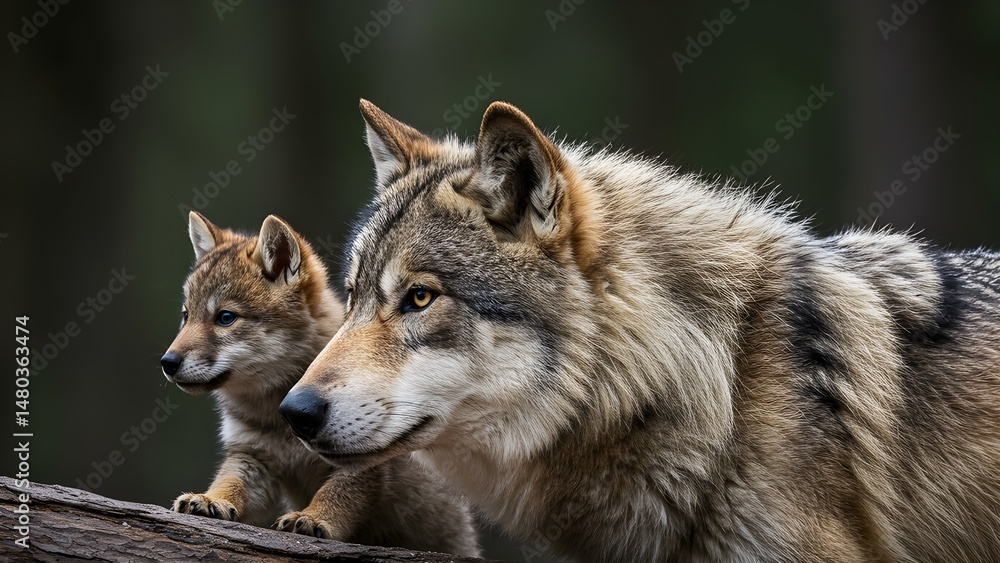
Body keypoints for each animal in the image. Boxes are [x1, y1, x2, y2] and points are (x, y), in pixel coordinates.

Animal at [160, 211, 479, 556]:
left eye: (225, 318)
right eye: (186, 315)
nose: (167, 362)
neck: (276, 418)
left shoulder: (359, 464)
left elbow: (334, 497)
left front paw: (311, 518)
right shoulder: (251, 456)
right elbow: (229, 483)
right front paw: (209, 500)